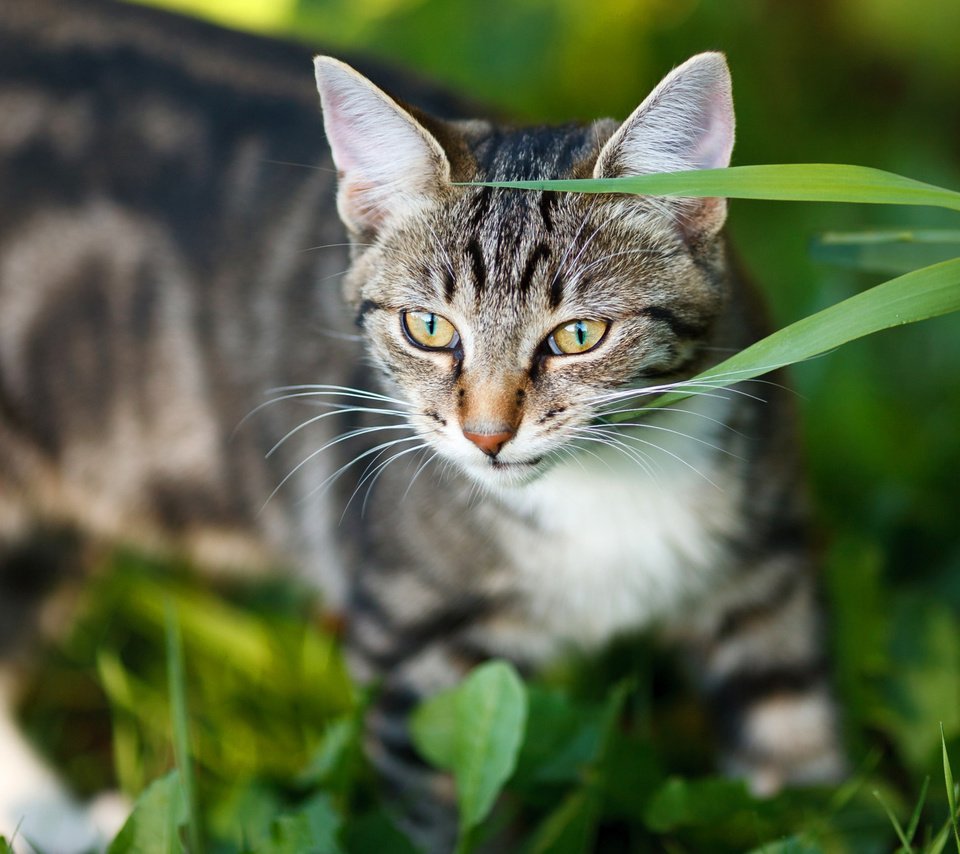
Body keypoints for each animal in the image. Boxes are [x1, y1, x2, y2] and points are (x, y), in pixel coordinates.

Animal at [0, 0, 844, 844]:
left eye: (579, 336)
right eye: (429, 328)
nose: (487, 434)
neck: (606, 488)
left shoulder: (765, 567)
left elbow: (795, 736)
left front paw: (815, 809)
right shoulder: (414, 648)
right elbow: (452, 810)